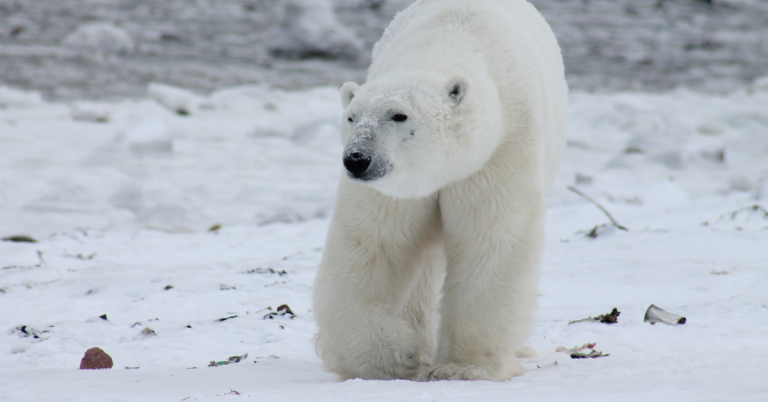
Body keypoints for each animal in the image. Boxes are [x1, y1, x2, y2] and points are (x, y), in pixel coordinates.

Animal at [310, 0, 564, 382]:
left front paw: (462, 366)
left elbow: (489, 240)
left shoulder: (498, 153)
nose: (357, 159)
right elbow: (372, 244)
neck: (447, 45)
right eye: (352, 117)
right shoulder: (396, 190)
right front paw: (394, 356)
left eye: (399, 115)